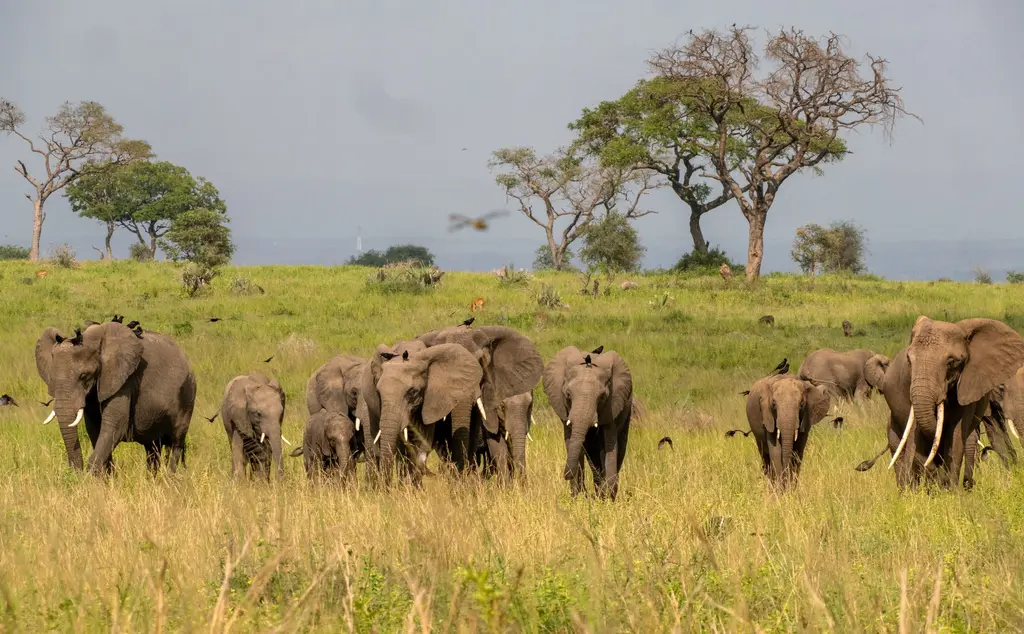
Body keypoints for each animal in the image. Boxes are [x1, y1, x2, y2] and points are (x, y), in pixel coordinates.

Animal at [35, 322, 196, 474]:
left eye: (84, 376)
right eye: (52, 379)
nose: (75, 472)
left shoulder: (124, 379)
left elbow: (115, 424)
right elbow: (94, 428)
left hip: (187, 396)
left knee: (175, 443)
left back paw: (170, 479)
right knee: (152, 448)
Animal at [542, 346, 633, 500]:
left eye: (602, 397)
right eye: (568, 395)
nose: (566, 475)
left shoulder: (611, 405)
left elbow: (610, 443)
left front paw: (607, 497)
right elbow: (571, 441)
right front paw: (577, 497)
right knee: (592, 454)